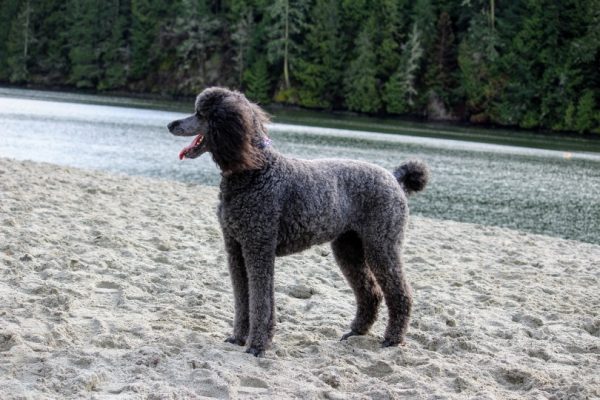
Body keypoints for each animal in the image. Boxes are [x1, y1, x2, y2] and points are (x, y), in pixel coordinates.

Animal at [169, 87, 428, 356]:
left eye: (201, 114)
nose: (171, 124)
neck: (255, 170)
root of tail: (394, 178)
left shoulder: (258, 247)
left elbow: (261, 302)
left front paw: (258, 345)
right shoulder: (236, 249)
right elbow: (243, 299)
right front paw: (239, 338)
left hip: (382, 245)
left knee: (400, 294)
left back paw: (393, 339)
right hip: (349, 248)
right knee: (370, 293)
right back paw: (356, 332)